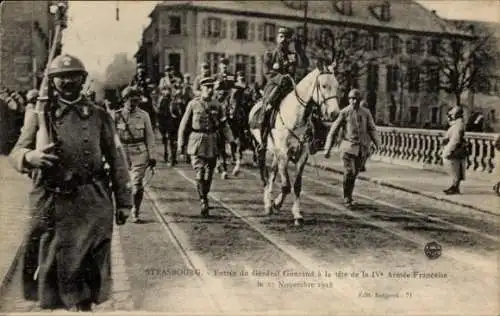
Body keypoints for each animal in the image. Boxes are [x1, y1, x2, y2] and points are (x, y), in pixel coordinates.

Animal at [249, 61, 342, 226]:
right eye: (324, 86)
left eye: (337, 85)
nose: (334, 113)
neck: (295, 115)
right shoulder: (284, 154)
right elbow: (286, 186)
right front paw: (276, 204)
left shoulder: (302, 155)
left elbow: (297, 186)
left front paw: (297, 214)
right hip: (261, 149)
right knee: (265, 176)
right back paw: (267, 204)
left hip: (275, 153)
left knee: (272, 174)